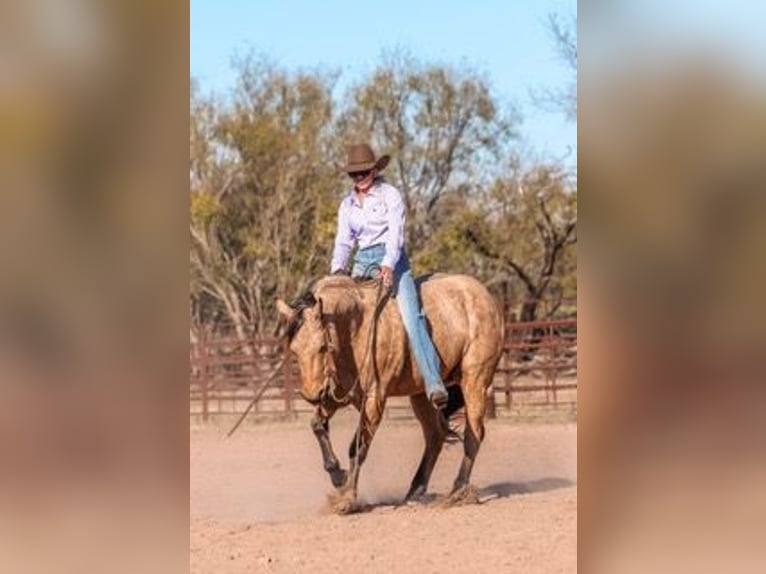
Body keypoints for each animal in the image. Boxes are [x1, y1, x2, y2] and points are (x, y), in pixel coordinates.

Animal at [276, 273, 504, 513]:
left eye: (322, 347)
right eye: (294, 350)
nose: (311, 395)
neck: (355, 329)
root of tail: (484, 295)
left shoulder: (374, 399)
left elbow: (357, 447)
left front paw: (346, 498)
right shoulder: (335, 396)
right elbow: (317, 425)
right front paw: (338, 475)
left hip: (475, 380)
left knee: (473, 434)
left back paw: (457, 492)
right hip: (421, 395)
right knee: (435, 435)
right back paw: (415, 491)